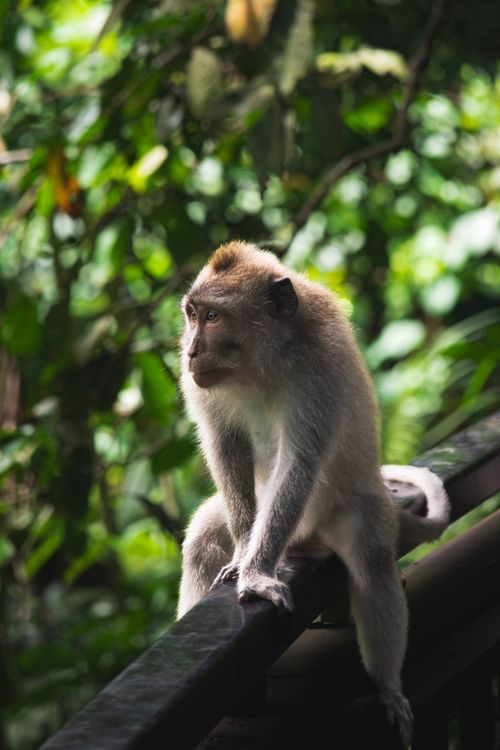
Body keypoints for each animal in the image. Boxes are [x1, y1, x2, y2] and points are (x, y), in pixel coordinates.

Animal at [176, 241, 450, 745]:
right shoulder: (201, 384)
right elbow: (226, 446)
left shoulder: (317, 368)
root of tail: (308, 537)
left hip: (350, 509)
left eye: (214, 317)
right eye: (191, 314)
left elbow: (299, 463)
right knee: (202, 539)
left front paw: (256, 573)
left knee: (373, 559)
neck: (262, 363)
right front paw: (244, 555)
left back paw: (387, 686)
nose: (189, 350)